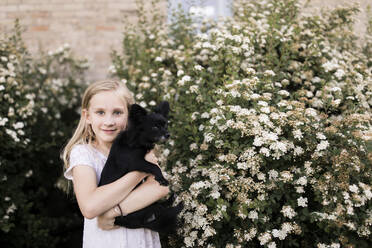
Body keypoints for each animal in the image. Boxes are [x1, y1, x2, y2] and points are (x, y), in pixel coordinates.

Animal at [97, 101, 182, 233]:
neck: (137, 141)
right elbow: (154, 166)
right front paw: (162, 178)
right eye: (155, 127)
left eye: (166, 125)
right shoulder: (135, 162)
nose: (168, 134)